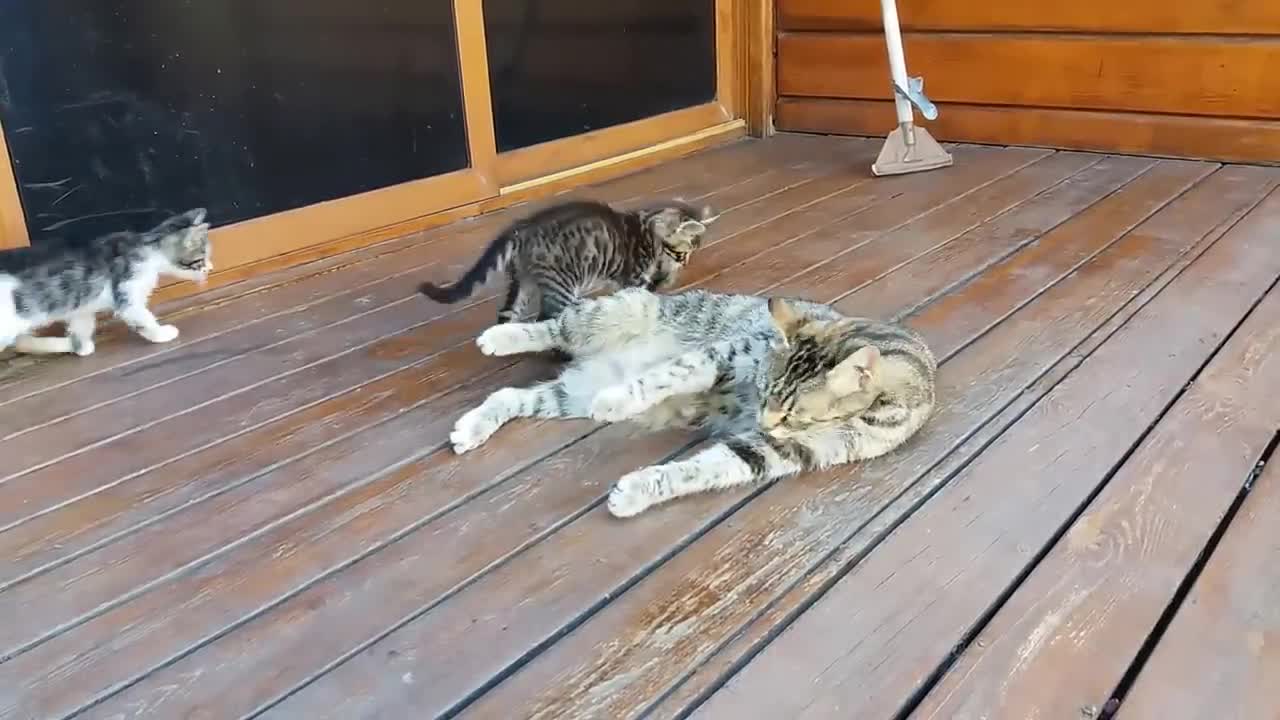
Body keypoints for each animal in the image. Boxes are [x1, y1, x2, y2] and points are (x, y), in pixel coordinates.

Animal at [0, 206, 212, 353]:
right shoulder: (128, 292)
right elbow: (144, 319)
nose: (210, 268)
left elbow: (81, 327)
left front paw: (80, 347)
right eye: (201, 258)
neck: (147, 247)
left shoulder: (82, 306)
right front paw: (162, 334)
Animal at [419, 194, 721, 320]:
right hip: (561, 284)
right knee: (546, 319)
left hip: (523, 281)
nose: (685, 262)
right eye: (681, 253)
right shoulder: (633, 277)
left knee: (507, 313)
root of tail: (523, 227)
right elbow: (640, 294)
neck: (646, 228)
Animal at [450, 285, 942, 515]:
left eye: (791, 416)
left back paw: (472, 427)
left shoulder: (790, 449)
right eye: (763, 392)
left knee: (511, 396)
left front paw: (639, 491)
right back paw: (502, 337)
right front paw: (618, 401)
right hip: (622, 309)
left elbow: (709, 468)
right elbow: (664, 376)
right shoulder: (731, 353)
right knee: (554, 327)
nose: (763, 420)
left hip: (570, 391)